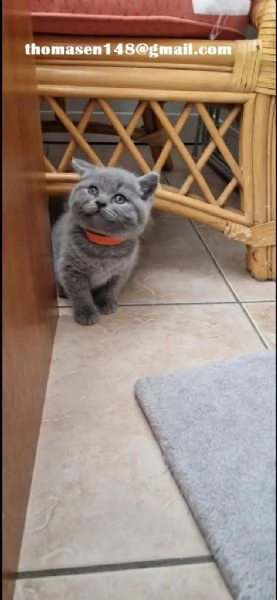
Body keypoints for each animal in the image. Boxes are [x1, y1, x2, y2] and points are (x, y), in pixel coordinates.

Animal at [51, 159, 158, 326]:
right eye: (93, 190)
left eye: (119, 199)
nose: (100, 202)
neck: (103, 244)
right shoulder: (71, 269)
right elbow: (80, 293)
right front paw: (86, 313)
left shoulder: (122, 270)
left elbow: (111, 288)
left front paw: (106, 302)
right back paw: (62, 291)